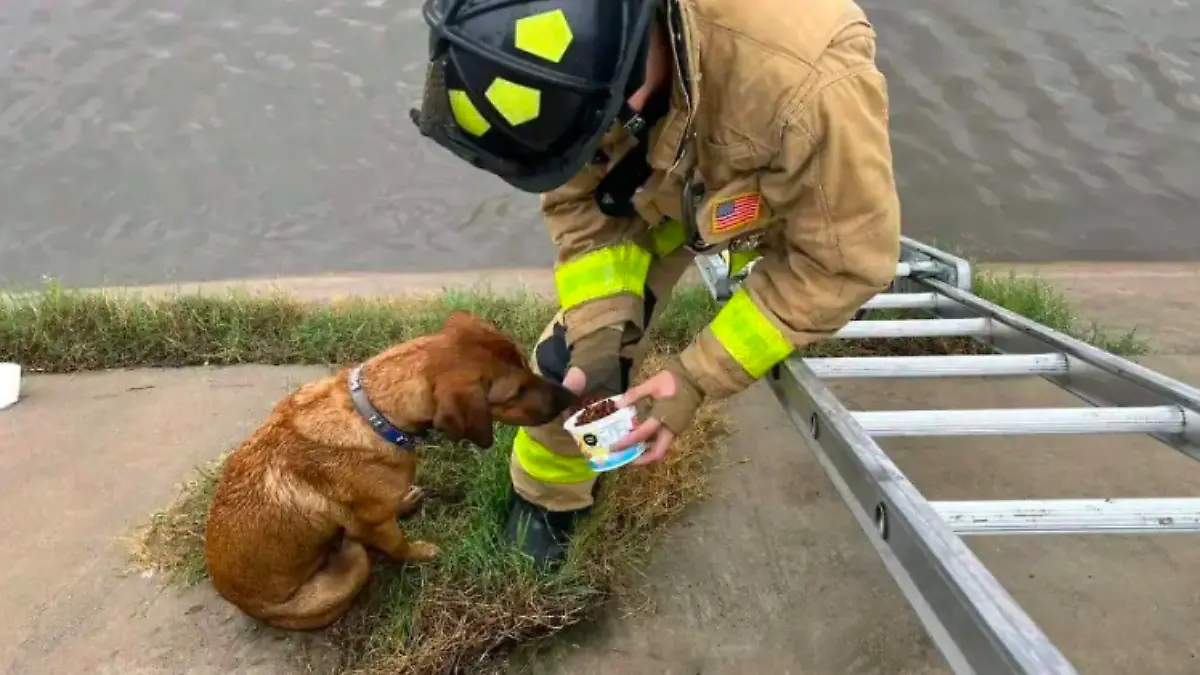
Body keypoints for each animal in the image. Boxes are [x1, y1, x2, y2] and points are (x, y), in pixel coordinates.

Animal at [201, 309, 576, 629]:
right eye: (517, 391)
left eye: (526, 363)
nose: (570, 397)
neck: (376, 414)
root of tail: (240, 602)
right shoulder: (374, 523)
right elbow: (398, 545)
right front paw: (419, 552)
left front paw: (405, 502)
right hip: (351, 567)